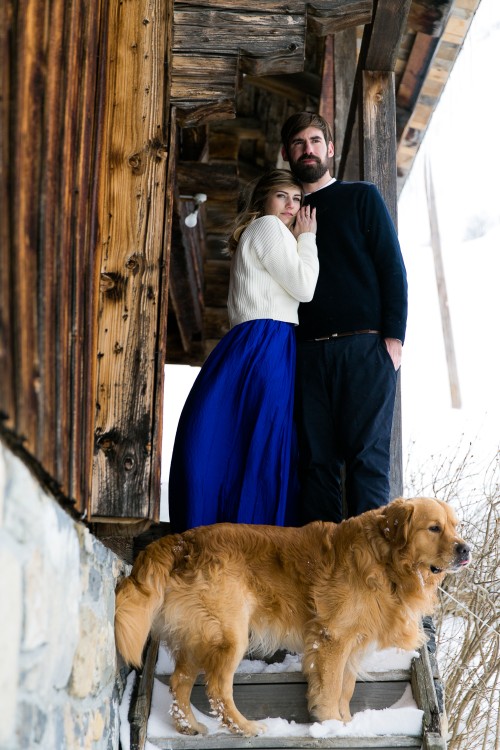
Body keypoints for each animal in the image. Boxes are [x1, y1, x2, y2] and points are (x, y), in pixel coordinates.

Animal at [115, 496, 470, 736]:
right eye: (434, 528)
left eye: (456, 527)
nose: (466, 549)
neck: (384, 560)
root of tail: (181, 541)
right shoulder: (332, 638)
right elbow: (331, 688)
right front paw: (331, 726)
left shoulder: (352, 643)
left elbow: (345, 689)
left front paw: (345, 723)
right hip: (229, 634)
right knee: (217, 689)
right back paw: (245, 728)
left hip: (196, 635)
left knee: (179, 684)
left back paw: (189, 726)